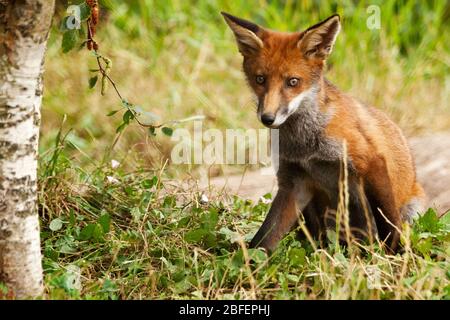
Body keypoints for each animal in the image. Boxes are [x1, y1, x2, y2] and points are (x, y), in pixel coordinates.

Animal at [223, 11, 428, 252]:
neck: (306, 146)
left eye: (293, 81)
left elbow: (389, 223)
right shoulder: (294, 181)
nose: (267, 118)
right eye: (260, 79)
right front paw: (249, 261)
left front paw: (393, 255)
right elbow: (265, 236)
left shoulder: (371, 163)